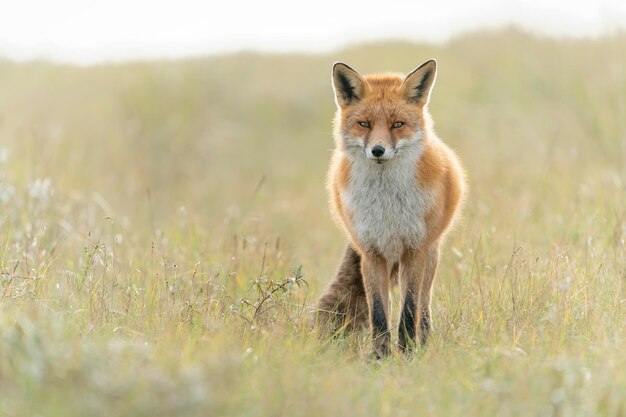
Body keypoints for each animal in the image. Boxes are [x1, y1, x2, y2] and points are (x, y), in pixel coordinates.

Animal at [316, 60, 464, 356]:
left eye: (398, 124)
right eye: (364, 124)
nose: (378, 150)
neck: (387, 208)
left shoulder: (414, 251)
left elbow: (409, 310)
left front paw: (407, 354)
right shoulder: (371, 253)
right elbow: (378, 314)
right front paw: (380, 357)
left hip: (430, 256)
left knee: (424, 305)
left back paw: (424, 343)